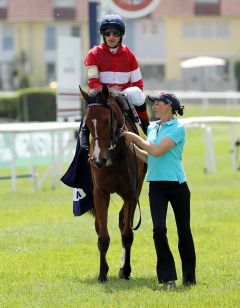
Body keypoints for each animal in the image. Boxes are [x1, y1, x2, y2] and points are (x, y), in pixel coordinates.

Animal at [79, 85, 145, 282]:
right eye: (87, 123)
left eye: (107, 120)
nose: (98, 160)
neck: (114, 156)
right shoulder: (100, 192)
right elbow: (103, 236)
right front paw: (102, 273)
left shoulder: (132, 192)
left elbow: (127, 234)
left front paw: (126, 269)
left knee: (123, 221)